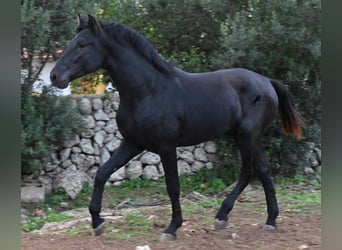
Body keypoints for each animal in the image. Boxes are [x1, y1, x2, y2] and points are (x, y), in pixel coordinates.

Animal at [49, 14, 304, 241]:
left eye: (82, 44)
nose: (54, 76)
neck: (148, 91)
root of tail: (267, 82)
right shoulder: (132, 144)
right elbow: (102, 173)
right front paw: (98, 223)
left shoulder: (166, 147)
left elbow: (173, 186)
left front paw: (172, 229)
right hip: (245, 137)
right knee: (263, 170)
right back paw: (267, 220)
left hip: (246, 136)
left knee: (248, 171)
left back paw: (225, 216)